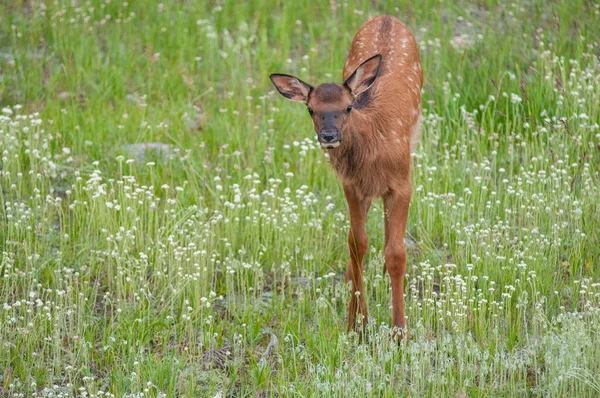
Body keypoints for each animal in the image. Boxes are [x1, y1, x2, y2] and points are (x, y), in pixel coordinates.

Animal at [272, 16, 422, 338]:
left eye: (348, 107)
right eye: (311, 109)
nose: (329, 136)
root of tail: (387, 17)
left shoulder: (402, 184)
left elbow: (397, 253)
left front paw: (399, 330)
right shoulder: (352, 186)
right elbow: (357, 243)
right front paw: (357, 322)